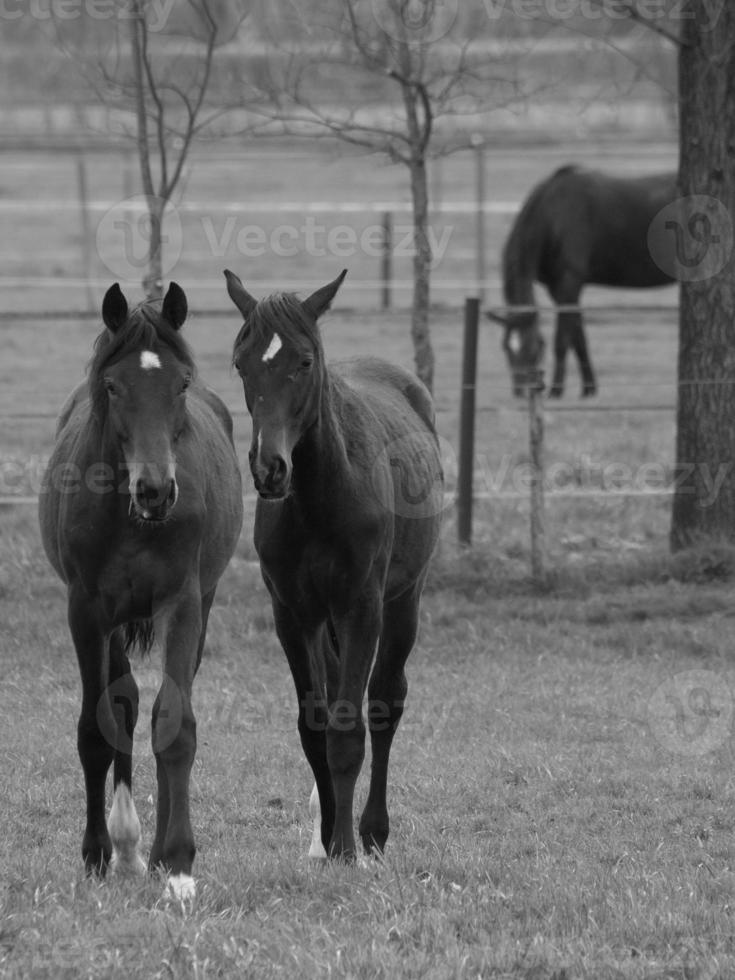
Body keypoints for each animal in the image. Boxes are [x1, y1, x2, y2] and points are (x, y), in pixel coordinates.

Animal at [38, 280, 242, 900]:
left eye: (181, 383)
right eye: (113, 385)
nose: (156, 490)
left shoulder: (183, 604)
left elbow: (174, 723)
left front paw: (176, 864)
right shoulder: (86, 611)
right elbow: (96, 726)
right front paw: (97, 853)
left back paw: (147, 853)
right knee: (124, 699)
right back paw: (125, 846)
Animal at [224, 266, 442, 856]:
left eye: (304, 361)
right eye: (240, 362)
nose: (269, 468)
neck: (321, 501)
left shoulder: (361, 607)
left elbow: (349, 728)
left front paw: (345, 845)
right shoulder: (292, 615)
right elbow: (313, 725)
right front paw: (323, 838)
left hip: (403, 601)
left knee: (386, 701)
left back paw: (373, 830)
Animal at [488, 165, 680, 398]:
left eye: (533, 347)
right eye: (506, 347)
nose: (522, 392)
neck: (552, 214)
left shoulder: (569, 282)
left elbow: (562, 340)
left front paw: (556, 391)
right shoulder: (559, 289)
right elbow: (578, 338)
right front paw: (589, 389)